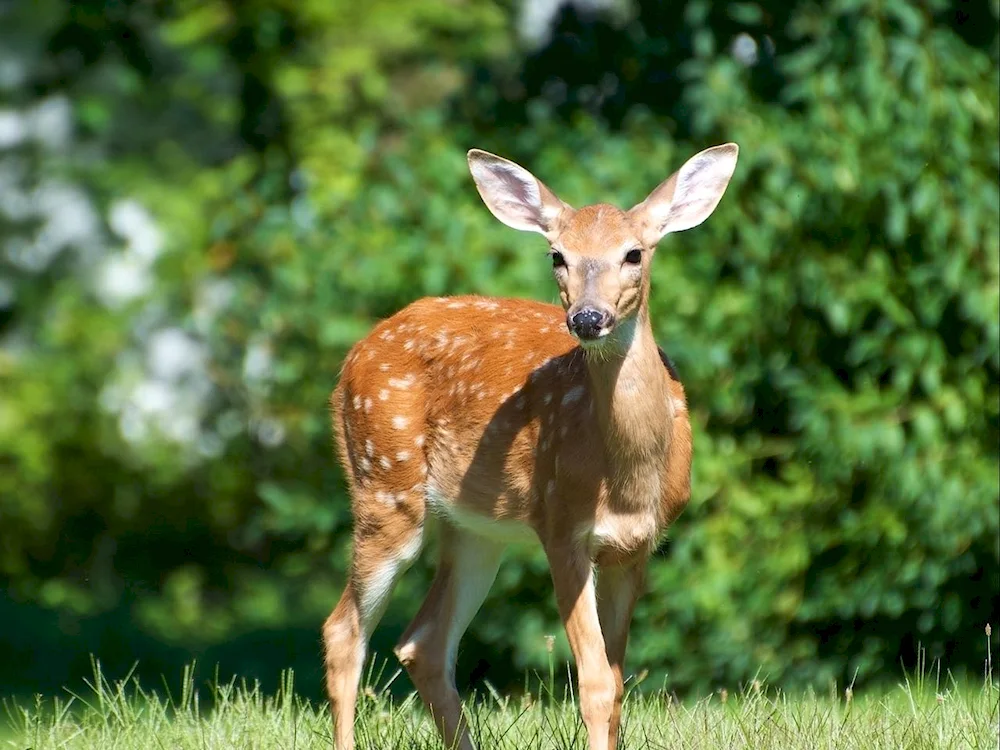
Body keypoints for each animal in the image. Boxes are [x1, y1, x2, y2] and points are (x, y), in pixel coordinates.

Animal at [324, 142, 740, 750]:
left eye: (634, 253)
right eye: (557, 256)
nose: (588, 317)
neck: (626, 476)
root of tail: (351, 357)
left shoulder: (637, 546)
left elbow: (618, 684)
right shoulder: (560, 525)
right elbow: (594, 683)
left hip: (476, 528)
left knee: (422, 641)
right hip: (384, 486)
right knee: (344, 631)